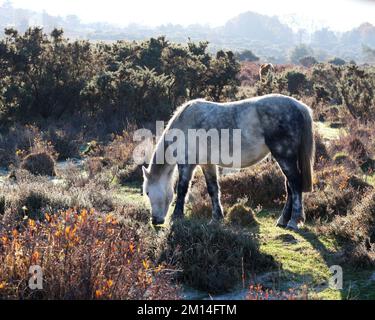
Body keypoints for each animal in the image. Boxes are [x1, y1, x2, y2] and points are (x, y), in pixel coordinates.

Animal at [142, 92, 316, 230]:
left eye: (148, 192)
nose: (155, 220)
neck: (185, 123)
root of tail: (299, 106)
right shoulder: (207, 164)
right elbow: (213, 189)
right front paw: (217, 218)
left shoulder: (187, 164)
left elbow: (182, 189)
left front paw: (177, 216)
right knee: (290, 187)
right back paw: (283, 220)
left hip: (285, 156)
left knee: (295, 184)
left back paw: (293, 221)